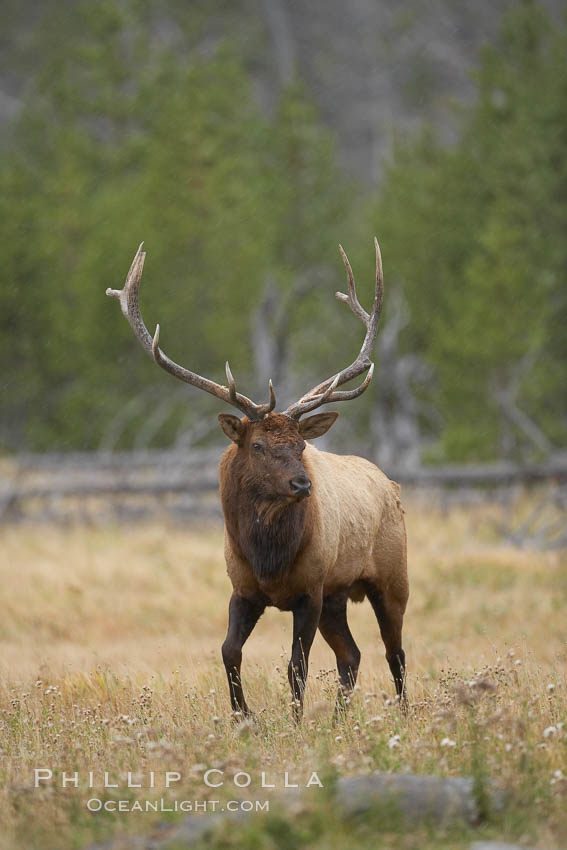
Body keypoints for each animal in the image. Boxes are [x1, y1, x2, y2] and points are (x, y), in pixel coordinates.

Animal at [107, 237, 408, 716]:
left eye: (301, 445)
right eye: (258, 446)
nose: (302, 485)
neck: (269, 558)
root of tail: (390, 483)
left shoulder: (309, 591)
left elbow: (295, 668)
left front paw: (295, 722)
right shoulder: (244, 590)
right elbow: (229, 652)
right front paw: (243, 714)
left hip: (391, 578)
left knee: (394, 653)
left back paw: (402, 713)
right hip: (338, 596)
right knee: (352, 655)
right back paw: (341, 720)